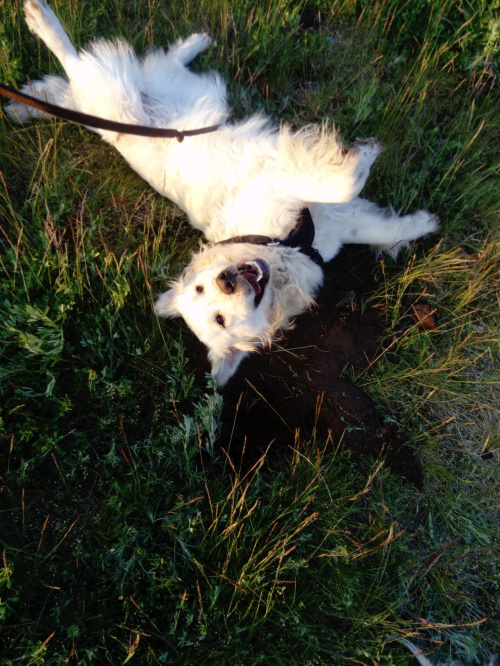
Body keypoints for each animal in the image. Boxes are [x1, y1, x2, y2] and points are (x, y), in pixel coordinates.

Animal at [7, 0, 438, 386]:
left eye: (201, 287)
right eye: (219, 318)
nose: (227, 280)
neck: (275, 248)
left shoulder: (304, 203)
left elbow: (367, 216)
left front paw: (417, 220)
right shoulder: (291, 192)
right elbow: (348, 188)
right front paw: (369, 162)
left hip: (136, 93)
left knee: (107, 65)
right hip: (110, 93)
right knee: (75, 65)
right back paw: (39, 25)